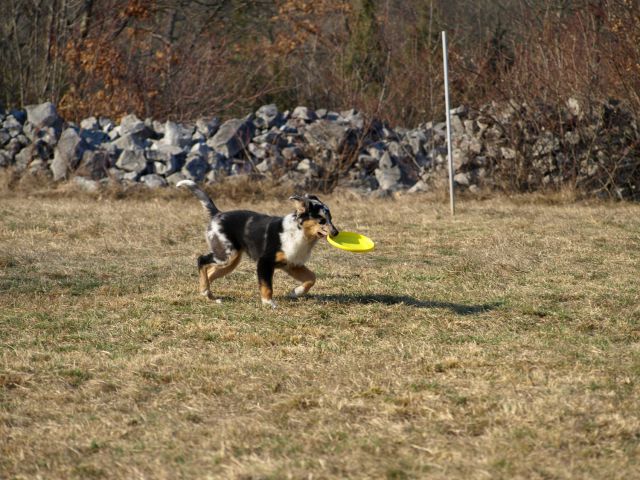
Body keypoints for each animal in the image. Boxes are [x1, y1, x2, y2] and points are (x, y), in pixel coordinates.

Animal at [178, 180, 340, 308]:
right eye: (321, 220)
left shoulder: (292, 264)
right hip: (226, 255)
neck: (300, 234)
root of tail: (217, 214)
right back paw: (205, 290)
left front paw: (296, 292)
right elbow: (267, 285)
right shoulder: (264, 262)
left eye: (331, 218)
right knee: (201, 260)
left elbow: (312, 278)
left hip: (230, 261)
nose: (336, 233)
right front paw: (269, 303)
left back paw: (208, 294)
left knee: (210, 271)